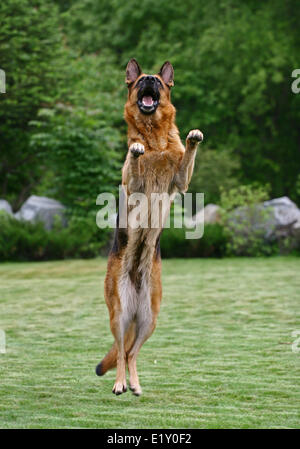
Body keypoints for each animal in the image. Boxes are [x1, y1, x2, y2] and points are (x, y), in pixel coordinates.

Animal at [96, 59, 203, 396]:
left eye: (157, 80)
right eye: (141, 79)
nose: (150, 83)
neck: (155, 138)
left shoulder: (181, 180)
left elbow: (187, 154)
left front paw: (193, 136)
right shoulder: (132, 184)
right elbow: (134, 161)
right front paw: (135, 149)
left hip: (149, 319)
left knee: (131, 353)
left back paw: (135, 384)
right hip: (118, 316)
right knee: (121, 351)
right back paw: (120, 384)